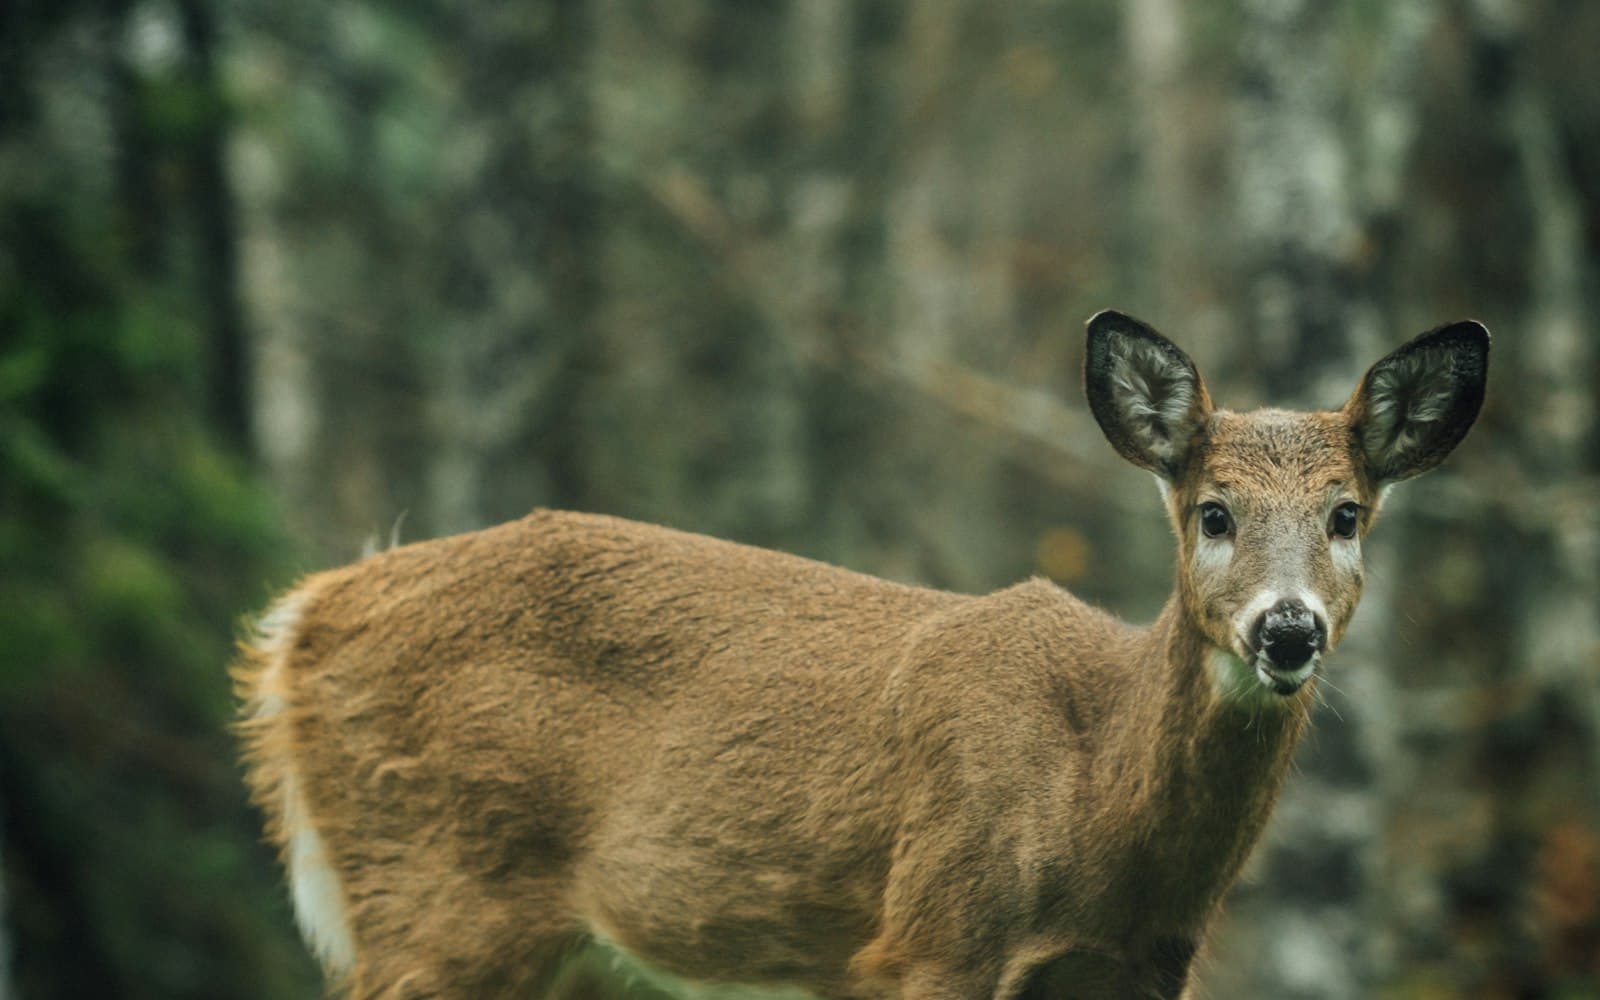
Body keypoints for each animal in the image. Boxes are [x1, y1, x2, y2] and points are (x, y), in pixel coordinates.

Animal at [235, 311, 1488, 999]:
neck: (1090, 801)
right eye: (1213, 512)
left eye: (1346, 514)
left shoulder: (1139, 974)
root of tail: (300, 617)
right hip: (432, 895)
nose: (1287, 628)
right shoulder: (931, 935)